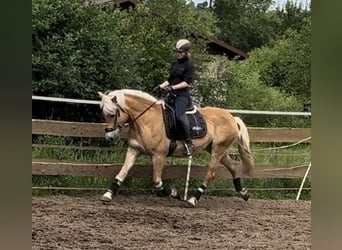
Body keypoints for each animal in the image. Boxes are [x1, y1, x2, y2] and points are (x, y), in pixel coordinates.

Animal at [97, 89, 252, 206]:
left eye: (112, 114)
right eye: (103, 114)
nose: (110, 137)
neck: (146, 120)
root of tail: (232, 117)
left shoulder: (159, 155)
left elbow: (156, 181)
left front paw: (173, 193)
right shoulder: (134, 150)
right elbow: (122, 172)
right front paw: (108, 194)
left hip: (218, 150)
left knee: (211, 174)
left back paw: (193, 199)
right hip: (217, 149)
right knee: (233, 167)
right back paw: (244, 193)